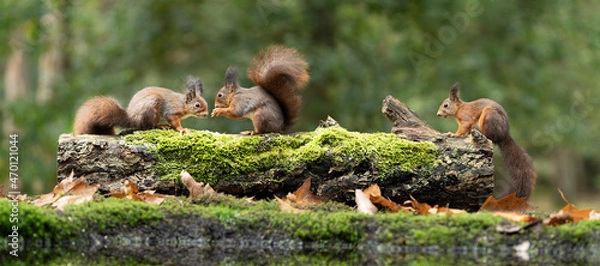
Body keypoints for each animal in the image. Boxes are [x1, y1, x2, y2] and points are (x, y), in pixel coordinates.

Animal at [74, 76, 209, 135]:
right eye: (197, 105)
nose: (207, 114)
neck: (182, 104)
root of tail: (132, 118)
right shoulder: (171, 111)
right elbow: (174, 121)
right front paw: (182, 129)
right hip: (150, 110)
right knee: (148, 126)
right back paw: (161, 126)